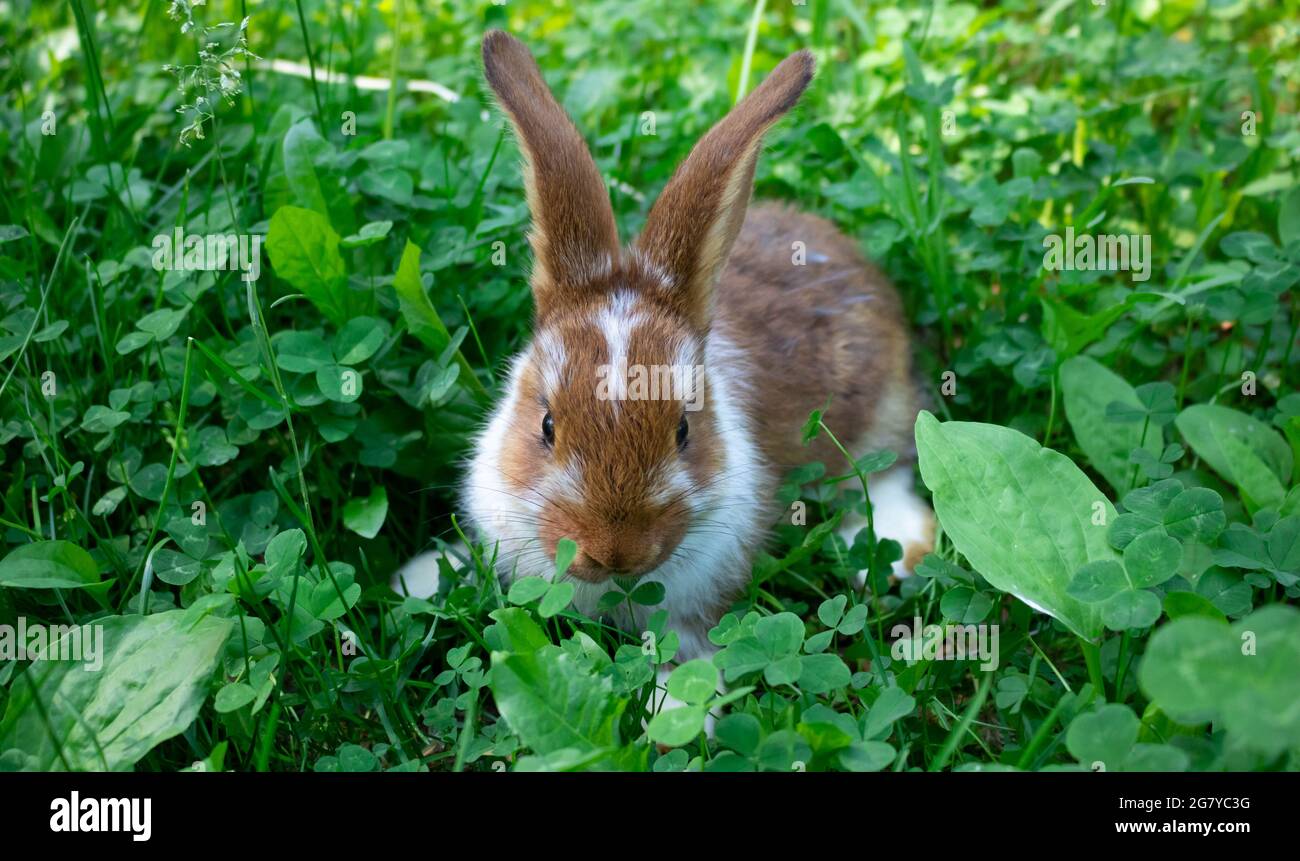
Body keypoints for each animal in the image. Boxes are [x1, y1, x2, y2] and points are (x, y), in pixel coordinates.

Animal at [394, 30, 934, 663]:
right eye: (546, 426)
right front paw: (418, 577)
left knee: (888, 468)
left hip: (881, 411)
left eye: (683, 431)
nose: (614, 550)